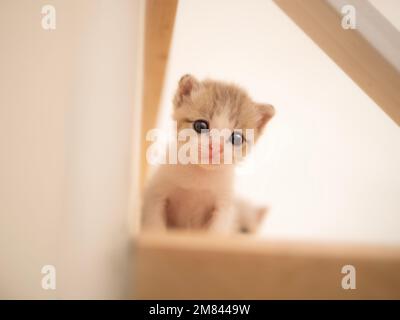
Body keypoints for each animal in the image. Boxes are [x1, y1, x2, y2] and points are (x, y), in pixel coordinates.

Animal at [141, 75, 276, 234]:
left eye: (237, 138)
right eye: (200, 125)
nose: (216, 147)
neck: (200, 177)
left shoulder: (224, 207)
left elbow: (217, 232)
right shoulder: (155, 194)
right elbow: (154, 225)